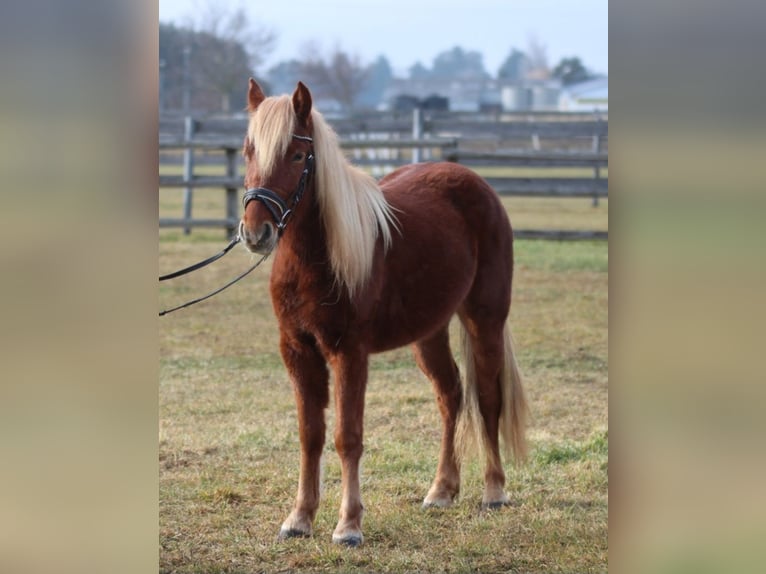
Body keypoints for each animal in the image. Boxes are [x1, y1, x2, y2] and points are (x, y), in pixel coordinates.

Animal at [240, 79, 528, 548]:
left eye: (297, 155)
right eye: (249, 151)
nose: (255, 232)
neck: (320, 258)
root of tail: (476, 185)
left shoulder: (349, 353)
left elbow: (348, 437)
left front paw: (349, 525)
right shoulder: (297, 351)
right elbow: (310, 435)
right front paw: (299, 518)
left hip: (485, 319)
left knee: (487, 398)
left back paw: (494, 491)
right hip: (429, 332)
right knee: (450, 396)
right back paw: (441, 491)